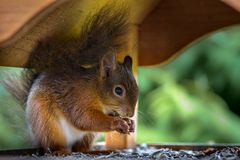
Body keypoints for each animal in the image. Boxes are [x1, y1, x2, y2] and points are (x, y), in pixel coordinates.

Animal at [4, 5, 138, 154]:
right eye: (118, 90)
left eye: (137, 88)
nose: (131, 114)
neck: (95, 90)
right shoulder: (78, 98)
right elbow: (84, 118)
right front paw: (117, 123)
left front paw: (129, 122)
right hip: (47, 125)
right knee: (53, 144)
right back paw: (61, 151)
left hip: (88, 135)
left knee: (80, 147)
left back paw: (94, 151)